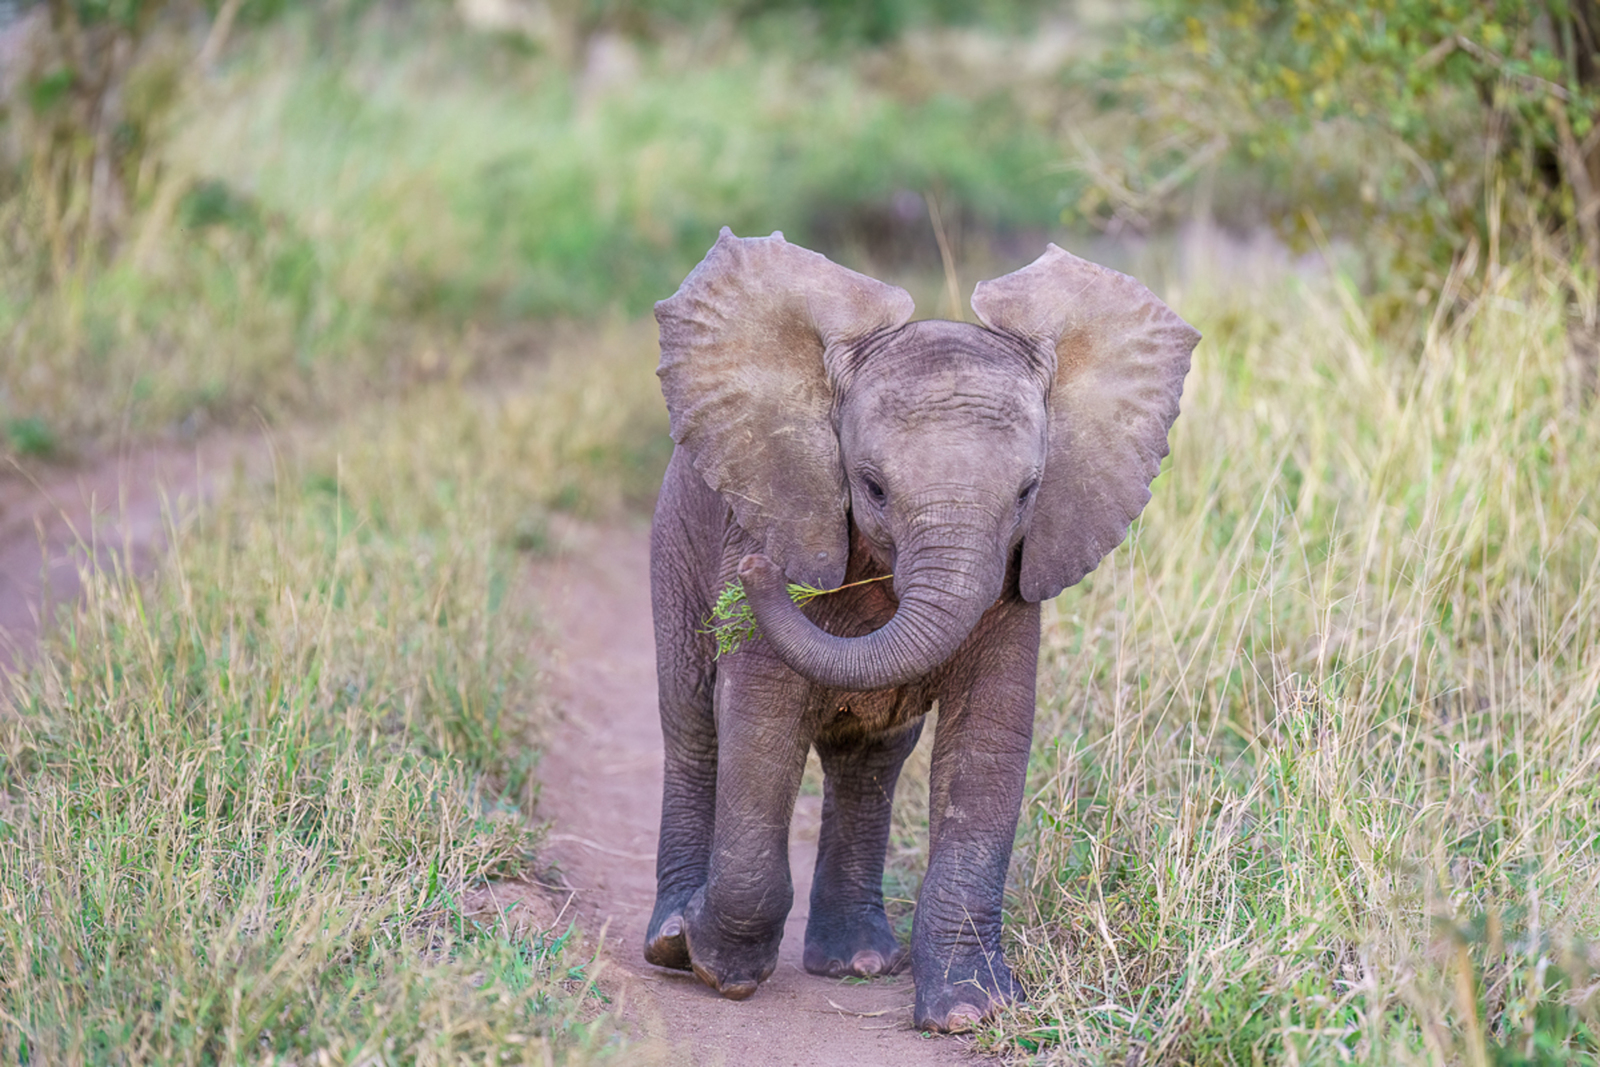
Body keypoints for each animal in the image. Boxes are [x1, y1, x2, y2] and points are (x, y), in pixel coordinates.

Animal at [643, 228, 1199, 1032]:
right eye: (871, 487)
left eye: (1028, 492)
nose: (755, 568)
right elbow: (760, 722)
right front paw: (718, 971)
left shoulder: (1013, 578)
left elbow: (988, 746)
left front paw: (970, 1010)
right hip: (674, 544)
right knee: (690, 725)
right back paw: (668, 942)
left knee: (871, 759)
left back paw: (857, 963)